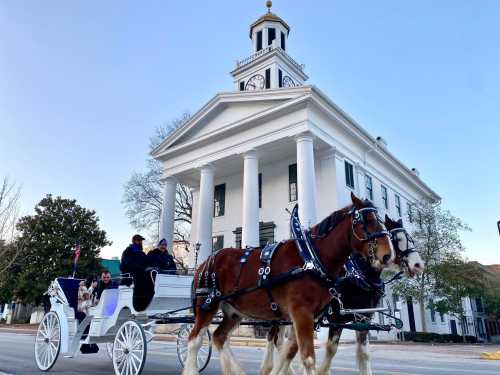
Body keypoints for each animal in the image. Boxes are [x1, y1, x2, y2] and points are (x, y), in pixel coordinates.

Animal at [182, 194, 392, 375]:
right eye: (367, 221)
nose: (387, 255)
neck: (311, 258)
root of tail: (204, 263)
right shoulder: (302, 313)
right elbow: (307, 358)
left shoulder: (311, 316)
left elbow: (290, 351)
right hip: (207, 305)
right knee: (194, 340)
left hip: (233, 312)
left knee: (219, 337)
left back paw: (237, 371)